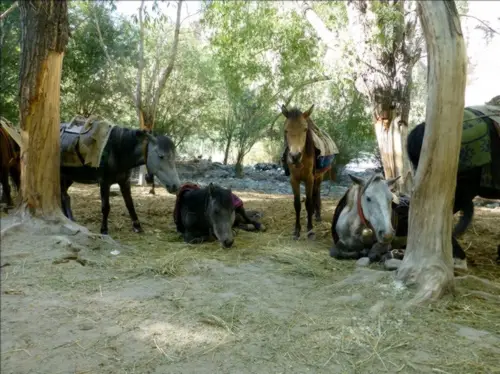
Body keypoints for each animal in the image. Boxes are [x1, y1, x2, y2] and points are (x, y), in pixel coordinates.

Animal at [282, 105, 336, 240]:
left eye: (305, 129)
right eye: (286, 130)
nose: (295, 156)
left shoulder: (309, 179)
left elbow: (309, 202)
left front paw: (310, 230)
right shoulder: (294, 180)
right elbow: (297, 204)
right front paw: (296, 231)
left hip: (319, 177)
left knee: (316, 193)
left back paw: (317, 215)